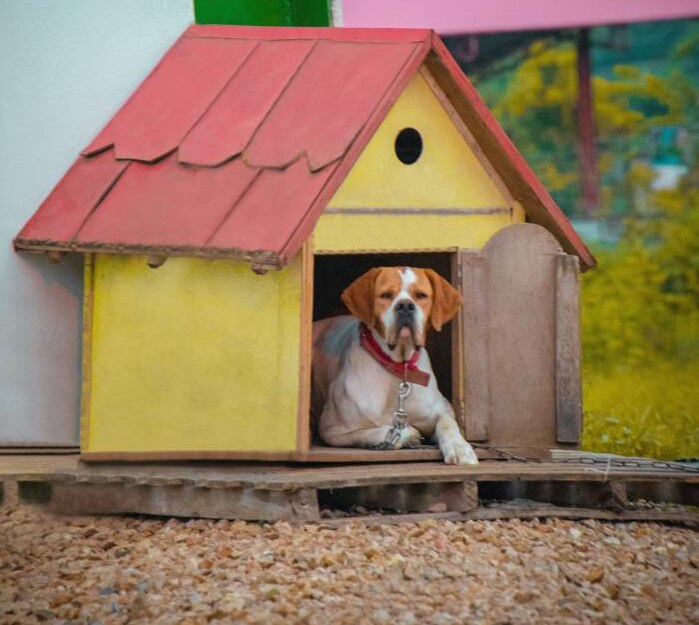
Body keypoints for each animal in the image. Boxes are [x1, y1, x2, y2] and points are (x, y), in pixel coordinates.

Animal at [314, 264, 478, 464]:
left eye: (421, 295)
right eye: (385, 295)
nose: (406, 306)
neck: (398, 366)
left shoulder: (443, 409)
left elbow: (448, 423)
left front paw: (459, 447)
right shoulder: (332, 430)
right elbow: (377, 432)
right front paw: (407, 435)